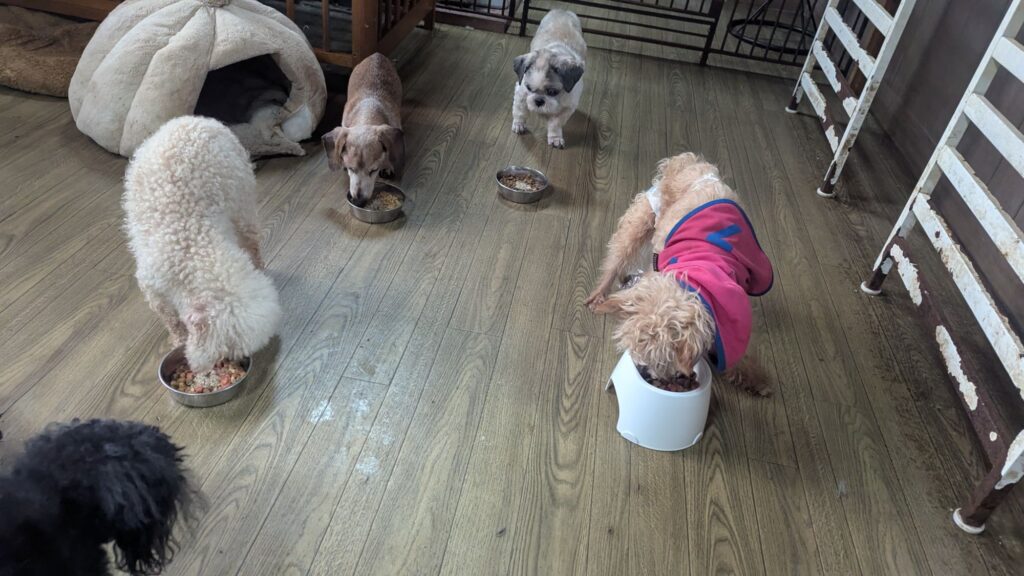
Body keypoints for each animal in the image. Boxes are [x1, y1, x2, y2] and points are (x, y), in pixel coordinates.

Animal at [124, 116, 282, 371]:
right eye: (227, 349)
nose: (232, 364)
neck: (192, 247)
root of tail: (196, 119)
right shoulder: (153, 289)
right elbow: (171, 320)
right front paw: (178, 338)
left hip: (242, 204)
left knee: (253, 244)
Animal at [323, 53, 405, 207]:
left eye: (374, 170)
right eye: (350, 168)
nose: (358, 201)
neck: (367, 113)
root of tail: (376, 55)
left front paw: (387, 166)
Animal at [511, 10, 586, 149]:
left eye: (552, 92)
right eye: (529, 88)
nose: (539, 101)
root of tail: (563, 10)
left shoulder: (568, 107)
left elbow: (555, 123)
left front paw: (555, 137)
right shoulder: (521, 93)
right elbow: (520, 111)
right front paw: (518, 124)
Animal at [585, 153, 774, 395]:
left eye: (660, 358)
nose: (644, 371)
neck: (692, 280)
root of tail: (687, 162)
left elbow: (743, 350)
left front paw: (757, 379)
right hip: (643, 216)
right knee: (617, 257)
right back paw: (599, 295)